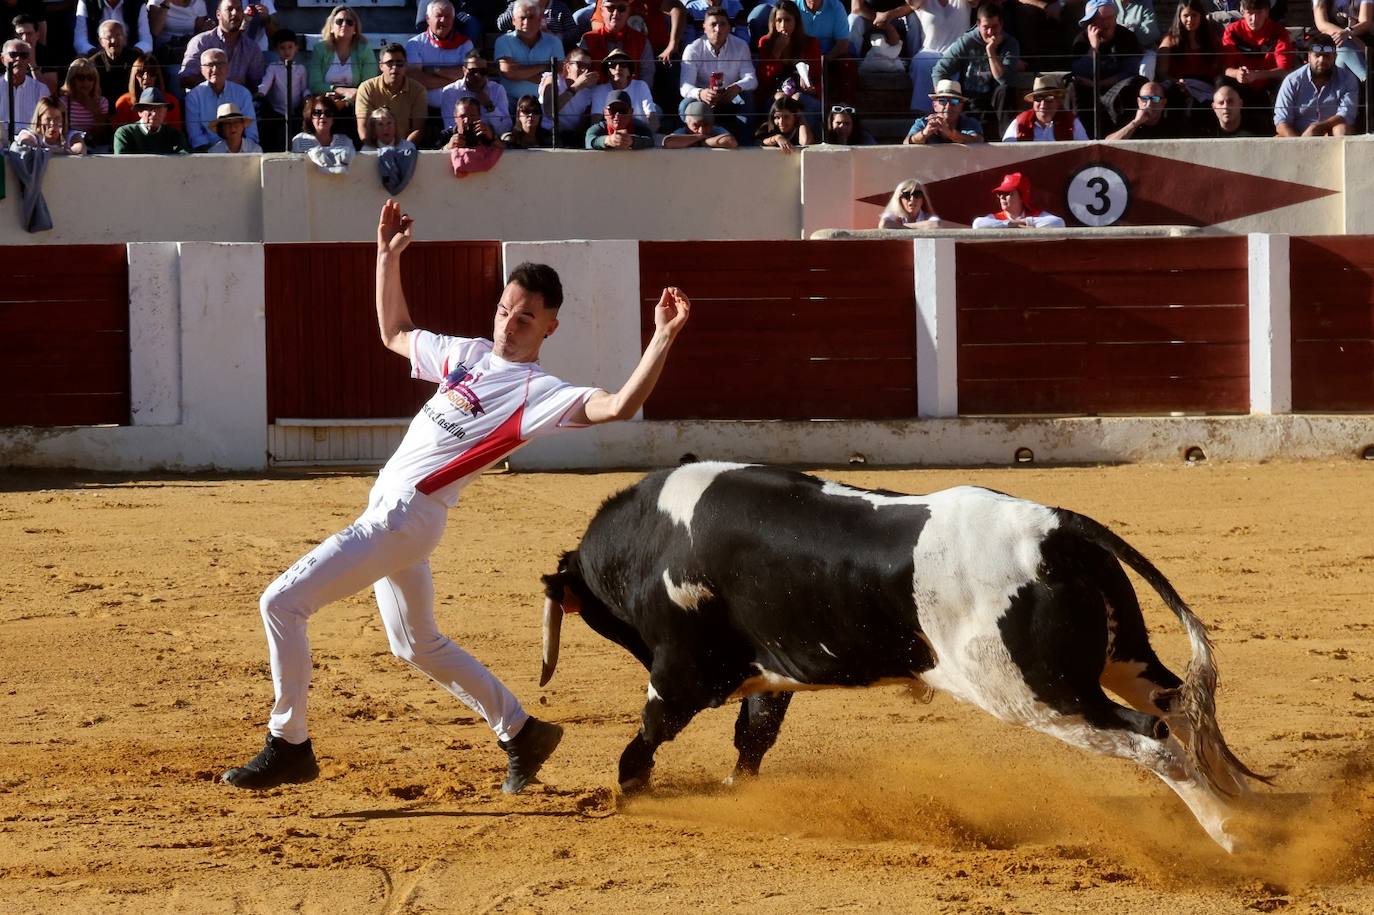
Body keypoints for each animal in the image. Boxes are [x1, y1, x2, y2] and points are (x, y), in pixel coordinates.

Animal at [541, 464, 1269, 846]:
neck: (648, 539)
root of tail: (1060, 526)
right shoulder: (769, 675)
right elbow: (754, 738)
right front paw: (738, 795)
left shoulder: (682, 671)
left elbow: (648, 733)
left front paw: (632, 795)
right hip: (1118, 658)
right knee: (1180, 705)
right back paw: (1244, 804)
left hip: (1043, 694)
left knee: (1152, 737)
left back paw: (1230, 832)